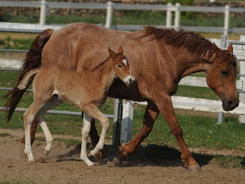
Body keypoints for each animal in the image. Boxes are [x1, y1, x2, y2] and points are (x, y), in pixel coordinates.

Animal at [3, 22, 238, 171]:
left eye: (237, 72)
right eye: (224, 71)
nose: (233, 102)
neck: (166, 56)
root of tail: (54, 32)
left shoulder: (155, 99)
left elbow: (146, 129)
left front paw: (120, 156)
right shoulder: (161, 97)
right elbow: (176, 128)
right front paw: (191, 163)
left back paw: (99, 154)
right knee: (35, 114)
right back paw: (29, 148)